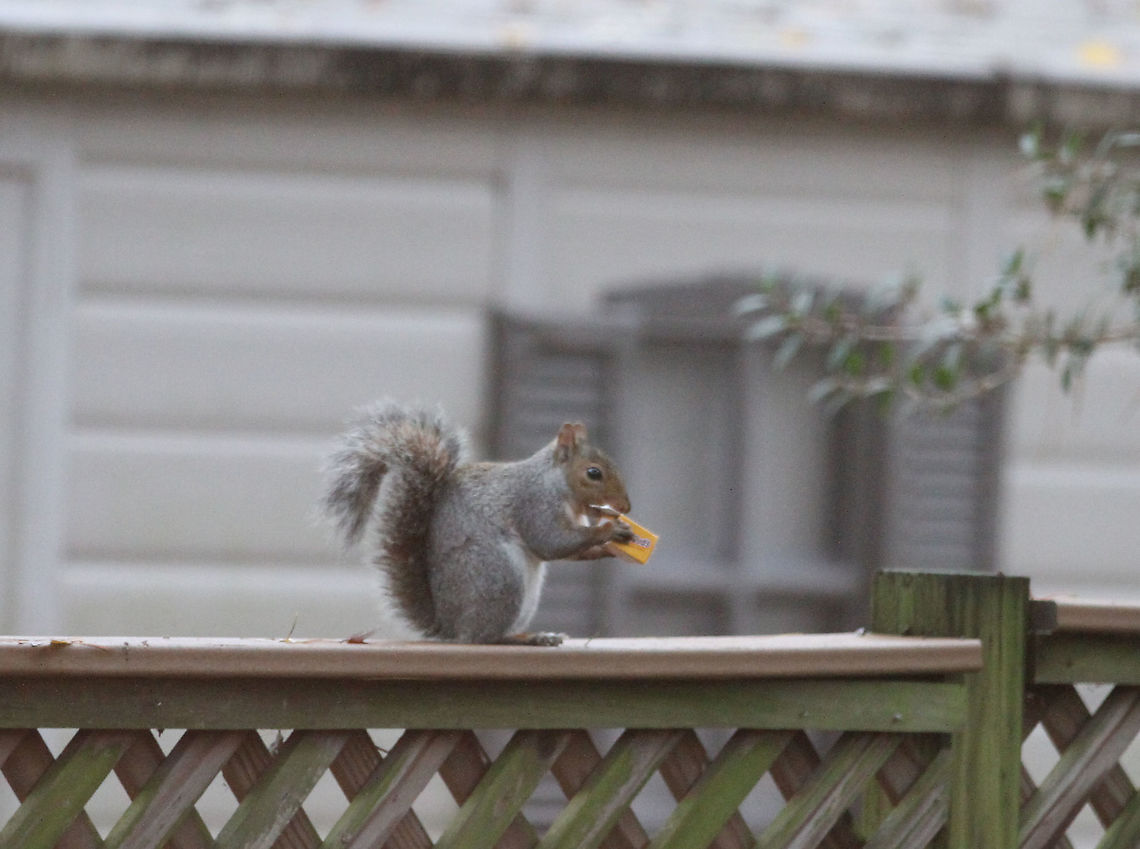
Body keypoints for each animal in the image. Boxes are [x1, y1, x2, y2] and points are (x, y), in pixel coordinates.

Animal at [321, 400, 634, 646]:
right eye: (593, 473)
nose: (625, 507)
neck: (557, 485)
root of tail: (450, 626)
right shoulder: (533, 502)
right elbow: (551, 542)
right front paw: (609, 530)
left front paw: (610, 545)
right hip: (498, 576)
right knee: (484, 637)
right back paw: (524, 639)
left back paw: (537, 635)